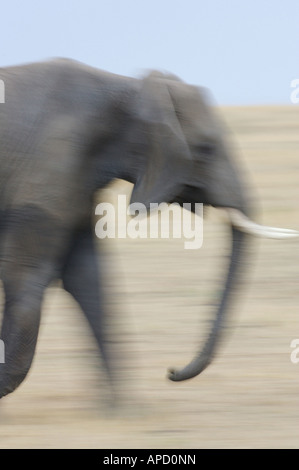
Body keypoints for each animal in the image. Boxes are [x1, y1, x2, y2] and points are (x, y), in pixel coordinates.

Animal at [0, 57, 298, 398]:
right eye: (206, 148)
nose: (170, 371)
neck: (128, 89)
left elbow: (87, 277)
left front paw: (122, 409)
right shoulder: (48, 166)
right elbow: (26, 272)